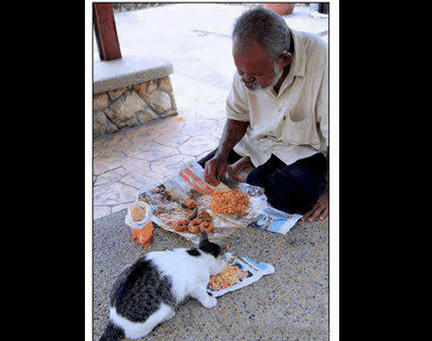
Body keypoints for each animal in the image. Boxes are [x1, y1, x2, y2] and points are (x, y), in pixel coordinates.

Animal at [99, 230, 231, 338]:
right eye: (222, 259)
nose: (225, 262)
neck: (199, 254)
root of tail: (115, 320)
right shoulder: (195, 286)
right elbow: (202, 294)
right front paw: (209, 300)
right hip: (161, 309)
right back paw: (169, 315)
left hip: (124, 270)